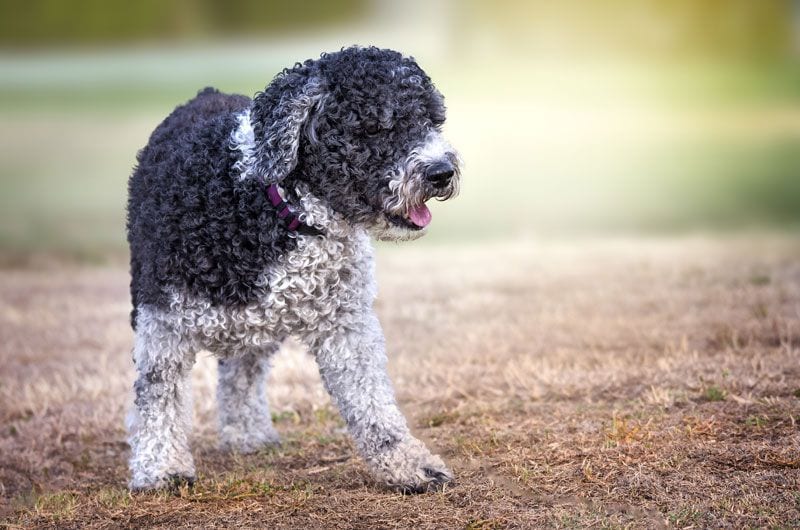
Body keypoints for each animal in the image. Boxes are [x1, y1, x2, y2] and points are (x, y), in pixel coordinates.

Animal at [126, 44, 462, 490]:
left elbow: (372, 400)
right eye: (375, 127)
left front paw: (407, 462)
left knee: (241, 374)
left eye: (431, 120)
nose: (442, 172)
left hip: (256, 330)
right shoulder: (162, 320)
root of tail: (205, 92)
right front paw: (161, 468)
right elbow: (158, 395)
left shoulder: (346, 324)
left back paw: (247, 433)